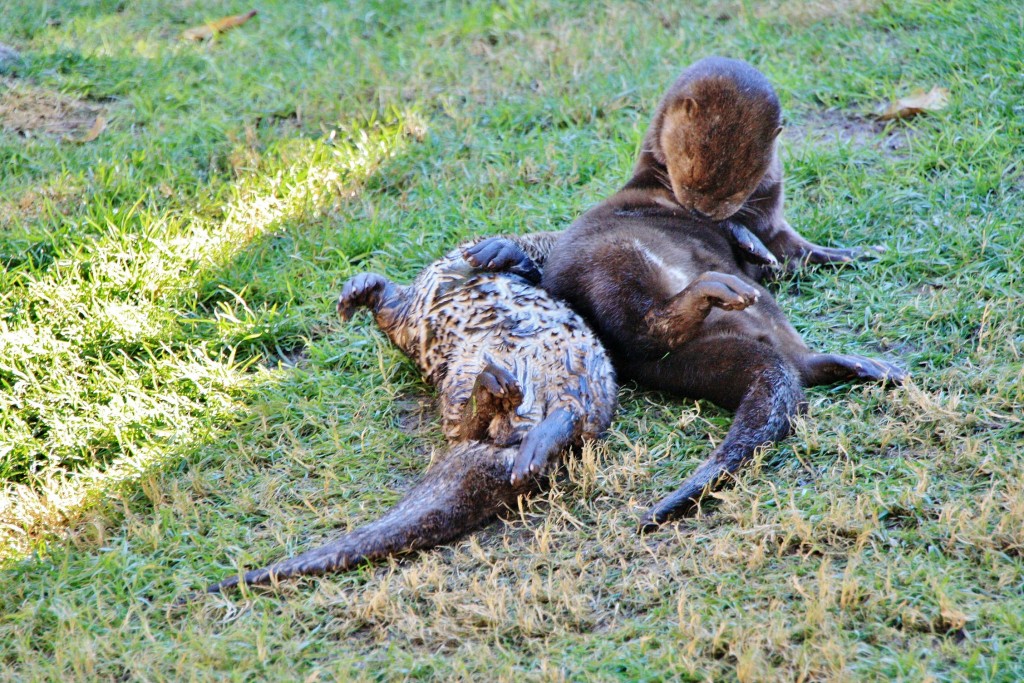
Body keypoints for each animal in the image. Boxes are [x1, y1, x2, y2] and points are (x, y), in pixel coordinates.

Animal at [201, 232, 614, 593]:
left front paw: (496, 251)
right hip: (478, 373)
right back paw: (505, 404)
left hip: (578, 368)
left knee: (560, 415)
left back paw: (510, 409)